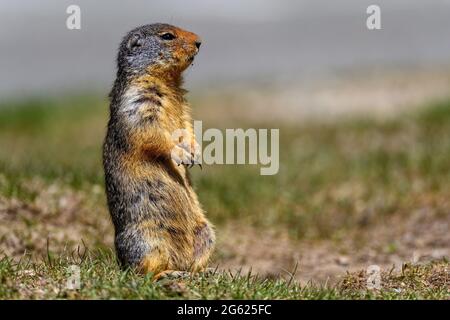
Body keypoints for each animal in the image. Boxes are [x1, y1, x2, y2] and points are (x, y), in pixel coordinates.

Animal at [103, 23, 215, 278]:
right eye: (167, 36)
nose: (200, 41)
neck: (168, 82)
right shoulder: (138, 101)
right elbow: (150, 131)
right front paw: (182, 154)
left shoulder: (183, 107)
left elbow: (186, 126)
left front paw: (196, 152)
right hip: (147, 239)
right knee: (141, 271)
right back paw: (167, 274)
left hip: (206, 232)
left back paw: (201, 271)